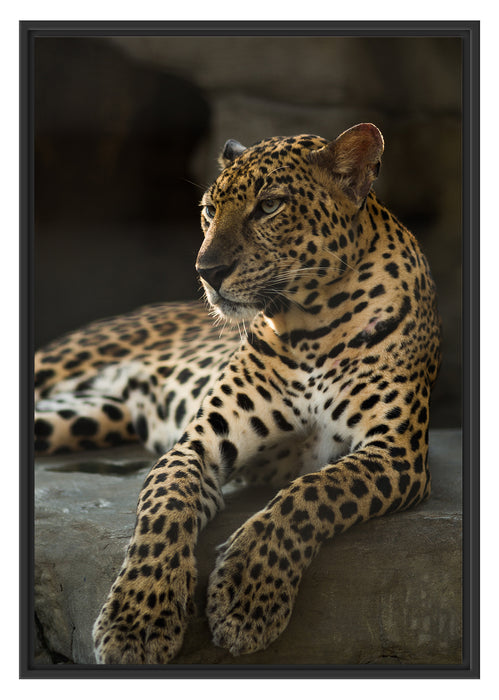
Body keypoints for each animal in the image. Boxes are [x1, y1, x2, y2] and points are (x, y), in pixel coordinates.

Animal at [34, 123, 442, 664]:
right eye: (209, 210)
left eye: (268, 206)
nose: (207, 271)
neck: (312, 324)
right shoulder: (198, 444)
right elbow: (165, 508)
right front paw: (137, 619)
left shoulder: (396, 452)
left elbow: (312, 492)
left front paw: (248, 595)